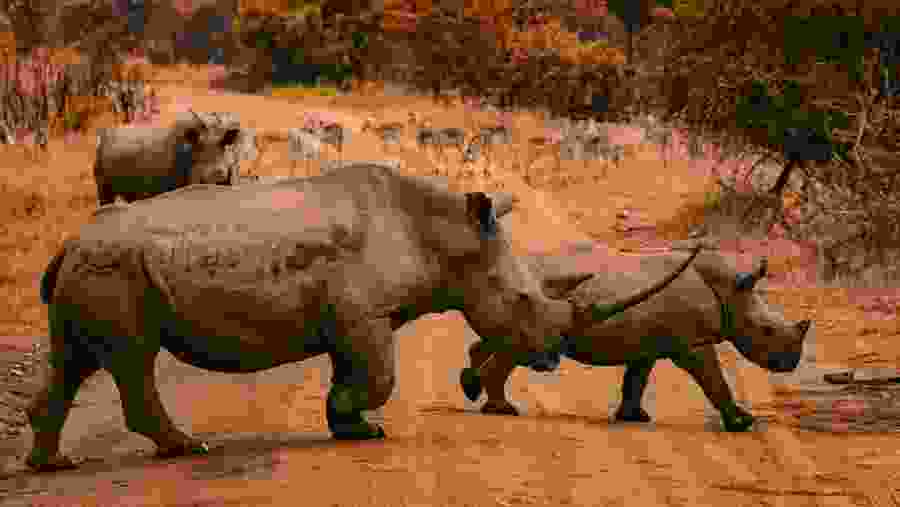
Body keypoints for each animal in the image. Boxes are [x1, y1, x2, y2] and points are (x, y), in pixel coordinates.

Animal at [27, 162, 594, 472]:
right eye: (522, 299)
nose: (552, 357)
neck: (445, 236)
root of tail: (69, 243)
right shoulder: (363, 314)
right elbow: (379, 375)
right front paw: (361, 425)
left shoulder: (355, 317)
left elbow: (357, 372)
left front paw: (351, 428)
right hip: (116, 267)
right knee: (132, 359)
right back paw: (189, 448)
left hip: (97, 265)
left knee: (74, 360)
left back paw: (53, 464)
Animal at [93, 110, 256, 206]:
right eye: (198, 147)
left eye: (225, 144)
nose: (213, 176)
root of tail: (103, 138)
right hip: (101, 172)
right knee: (105, 196)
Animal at [461, 244, 812, 432]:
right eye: (766, 330)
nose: (792, 363)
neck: (730, 290)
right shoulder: (694, 343)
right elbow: (714, 380)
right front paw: (742, 423)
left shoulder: (650, 344)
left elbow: (637, 379)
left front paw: (634, 418)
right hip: (533, 305)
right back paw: (502, 409)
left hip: (522, 300)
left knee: (500, 338)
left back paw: (471, 387)